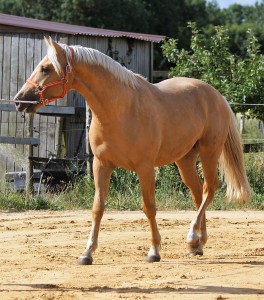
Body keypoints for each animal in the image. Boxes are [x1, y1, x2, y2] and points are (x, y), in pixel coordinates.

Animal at [14, 37, 250, 264]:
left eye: (45, 68)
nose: (19, 100)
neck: (119, 110)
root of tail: (216, 95)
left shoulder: (145, 168)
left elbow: (149, 207)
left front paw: (154, 251)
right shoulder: (101, 165)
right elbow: (97, 208)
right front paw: (87, 253)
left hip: (209, 152)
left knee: (209, 189)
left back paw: (192, 237)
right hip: (185, 159)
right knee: (198, 194)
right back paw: (198, 245)